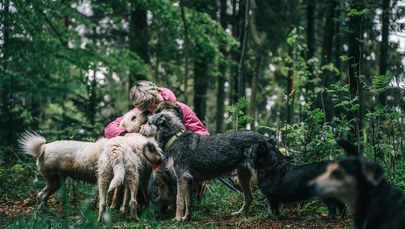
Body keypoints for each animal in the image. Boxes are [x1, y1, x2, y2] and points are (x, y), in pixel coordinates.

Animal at [140, 111, 272, 222]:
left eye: (149, 122)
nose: (140, 127)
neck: (174, 138)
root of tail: (265, 138)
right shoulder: (188, 180)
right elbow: (188, 202)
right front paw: (186, 218)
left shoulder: (181, 177)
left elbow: (179, 201)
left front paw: (177, 218)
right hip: (242, 176)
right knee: (249, 197)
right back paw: (241, 213)